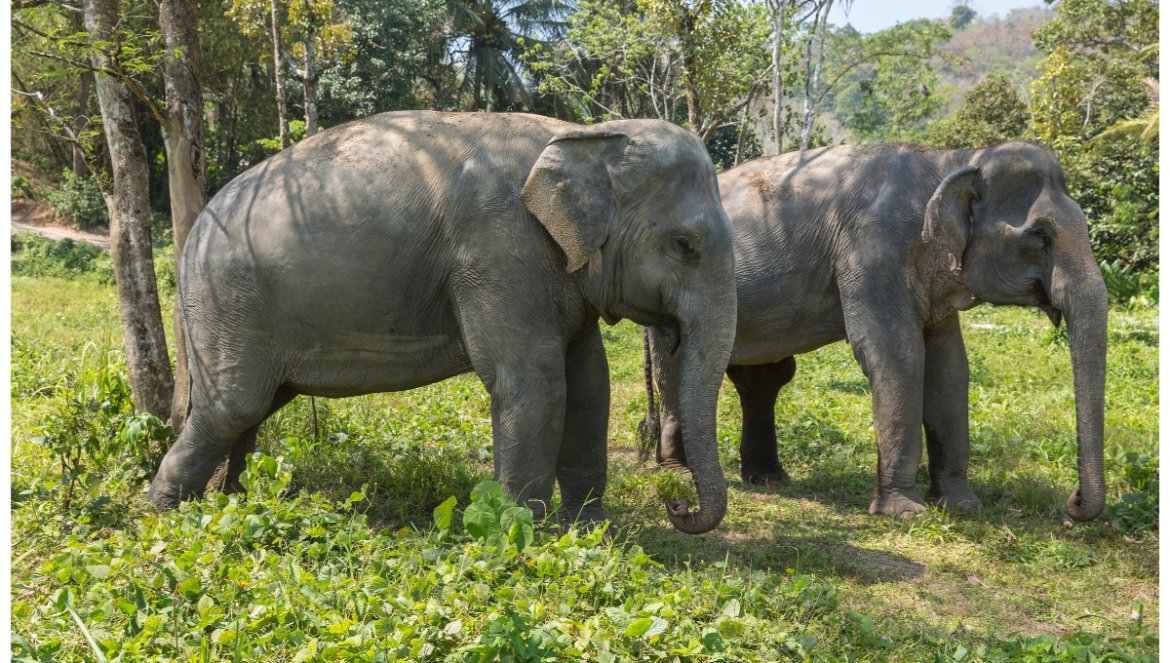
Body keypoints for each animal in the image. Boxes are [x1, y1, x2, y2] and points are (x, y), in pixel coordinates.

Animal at [148, 110, 737, 535]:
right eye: (684, 245)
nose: (677, 507)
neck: (585, 133)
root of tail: (192, 234)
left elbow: (591, 383)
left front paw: (591, 534)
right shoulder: (501, 252)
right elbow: (533, 382)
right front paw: (524, 536)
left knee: (253, 409)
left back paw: (234, 503)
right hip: (229, 304)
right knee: (232, 406)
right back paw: (163, 515)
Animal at [652, 141, 1107, 521]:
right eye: (1040, 235)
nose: (1072, 504)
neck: (951, 159)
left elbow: (950, 369)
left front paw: (962, 506)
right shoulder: (871, 253)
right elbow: (896, 357)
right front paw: (906, 513)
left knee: (764, 378)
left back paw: (768, 478)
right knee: (676, 368)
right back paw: (677, 474)